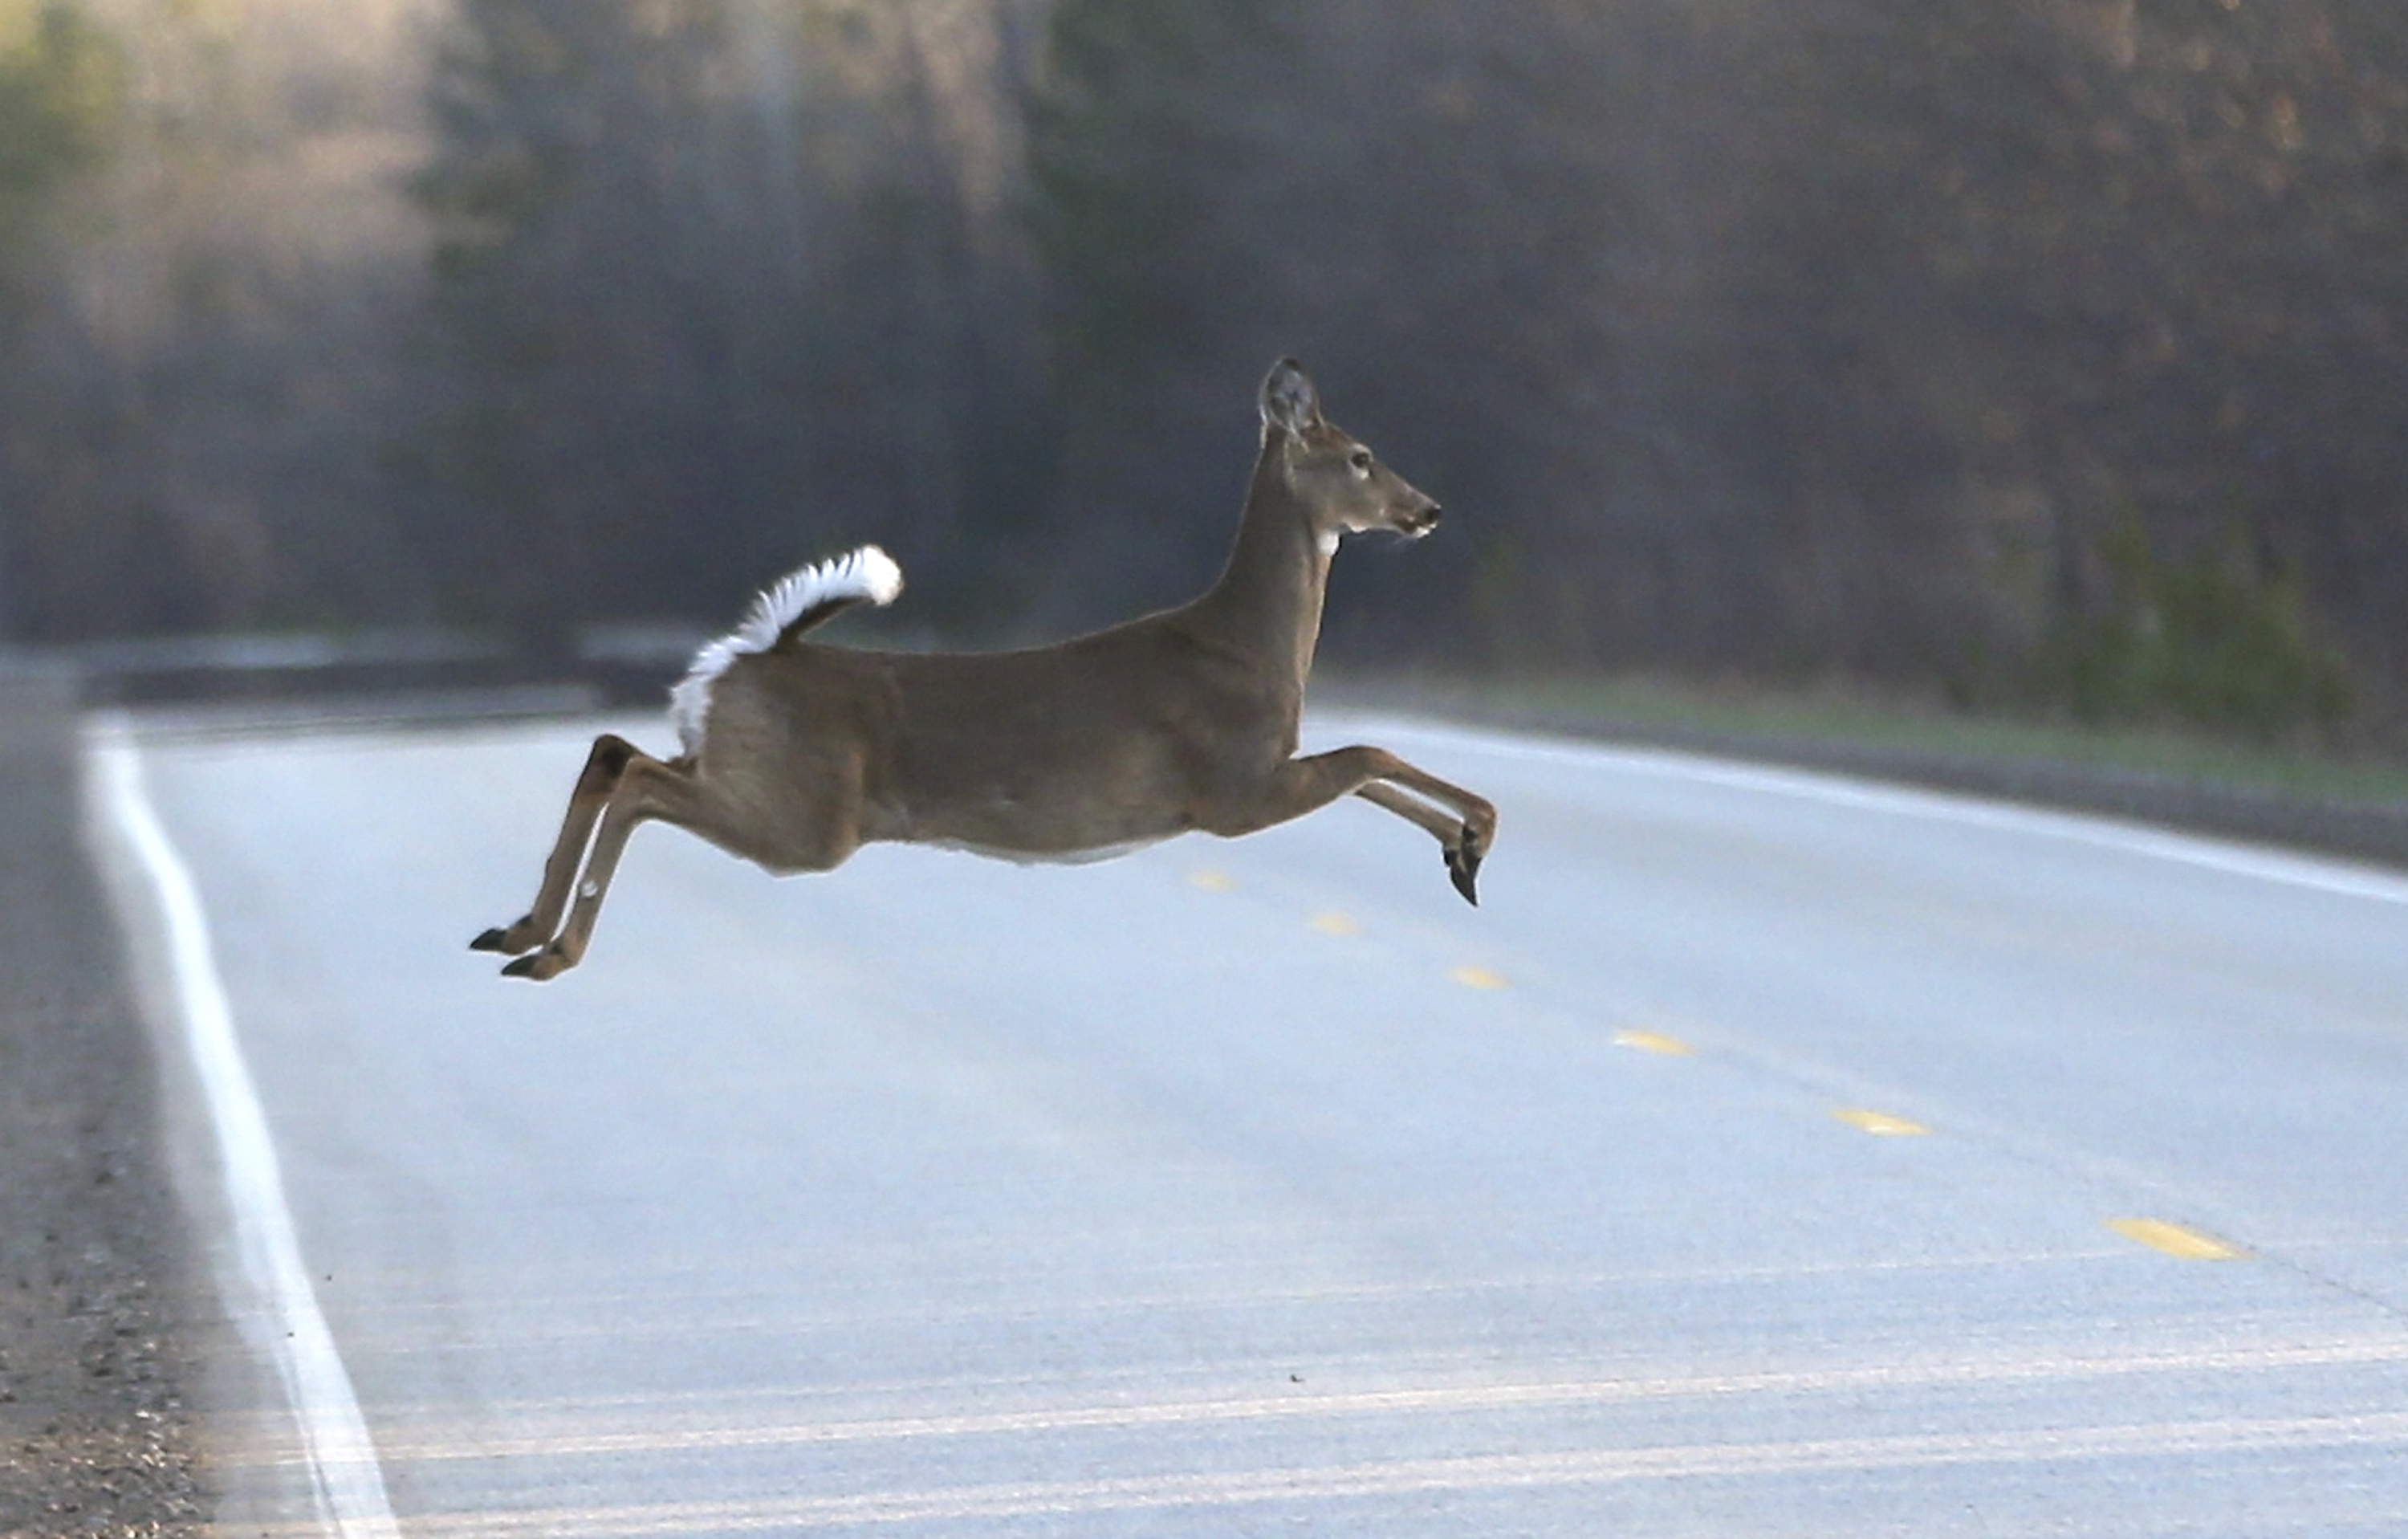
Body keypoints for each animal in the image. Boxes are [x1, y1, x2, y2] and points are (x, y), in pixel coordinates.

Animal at [470, 359, 1493, 983]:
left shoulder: (1261, 776)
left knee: (615, 750)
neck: (1248, 647)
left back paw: (514, 931)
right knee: (638, 781)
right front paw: (1476, 838)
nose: (1431, 509)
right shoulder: (1231, 790)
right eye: (1360, 456)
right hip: (808, 819)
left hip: (746, 769)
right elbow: (1370, 756)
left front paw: (1461, 855)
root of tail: (752, 656)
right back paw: (548, 951)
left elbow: (1369, 769)